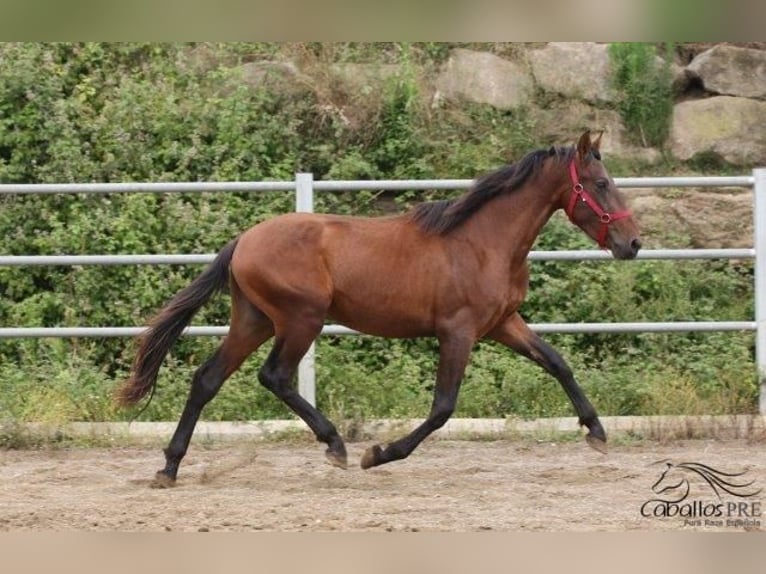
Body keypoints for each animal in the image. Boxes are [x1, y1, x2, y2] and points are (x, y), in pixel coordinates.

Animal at [115, 130, 640, 486]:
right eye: (599, 182)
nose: (632, 243)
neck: (483, 242)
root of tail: (243, 240)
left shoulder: (502, 323)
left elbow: (556, 362)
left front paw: (596, 432)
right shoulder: (459, 331)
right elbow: (443, 407)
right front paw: (380, 454)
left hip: (254, 319)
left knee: (207, 379)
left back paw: (169, 468)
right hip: (301, 319)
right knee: (275, 376)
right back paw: (336, 446)